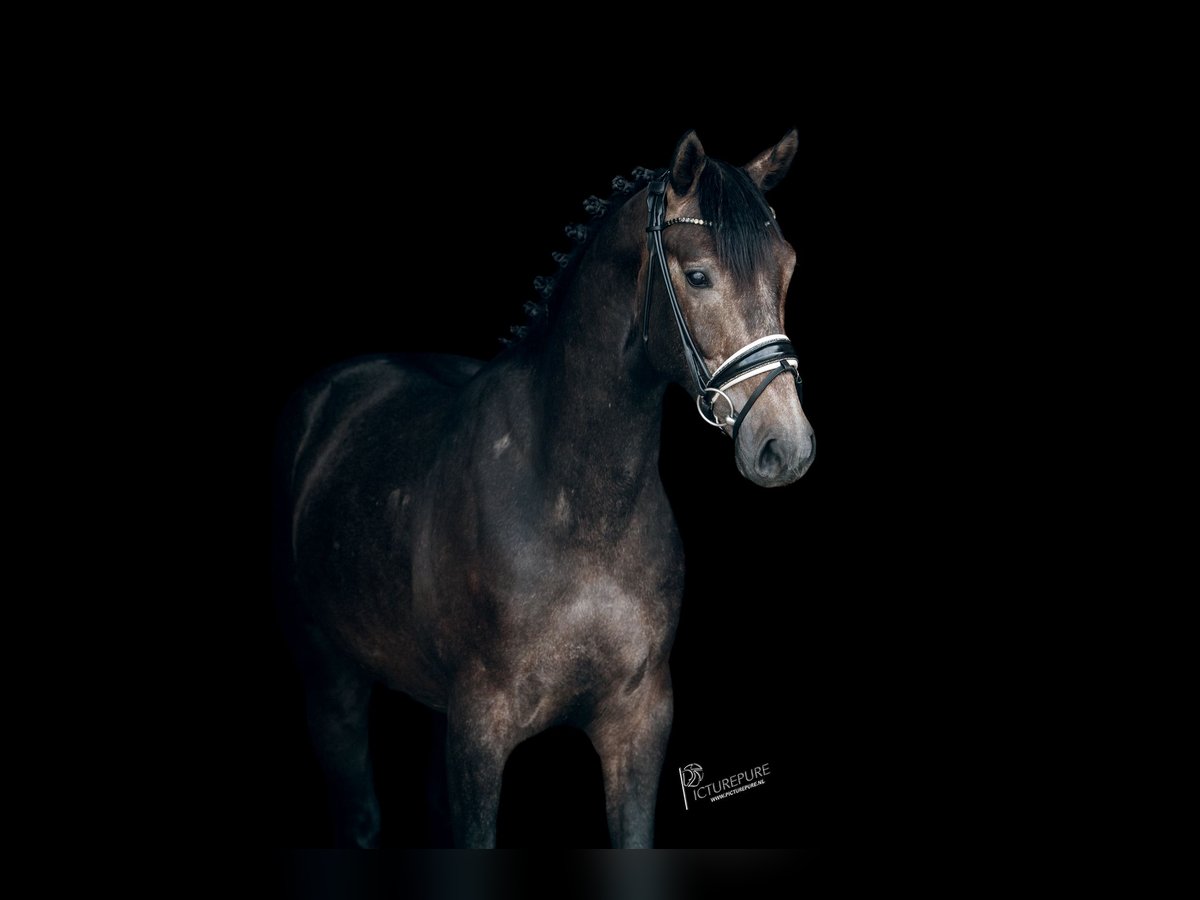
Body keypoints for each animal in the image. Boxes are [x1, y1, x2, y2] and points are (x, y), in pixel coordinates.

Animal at [276, 130, 816, 849]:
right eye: (698, 275)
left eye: (787, 269)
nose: (785, 445)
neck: (578, 512)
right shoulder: (479, 731)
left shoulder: (639, 722)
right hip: (328, 673)